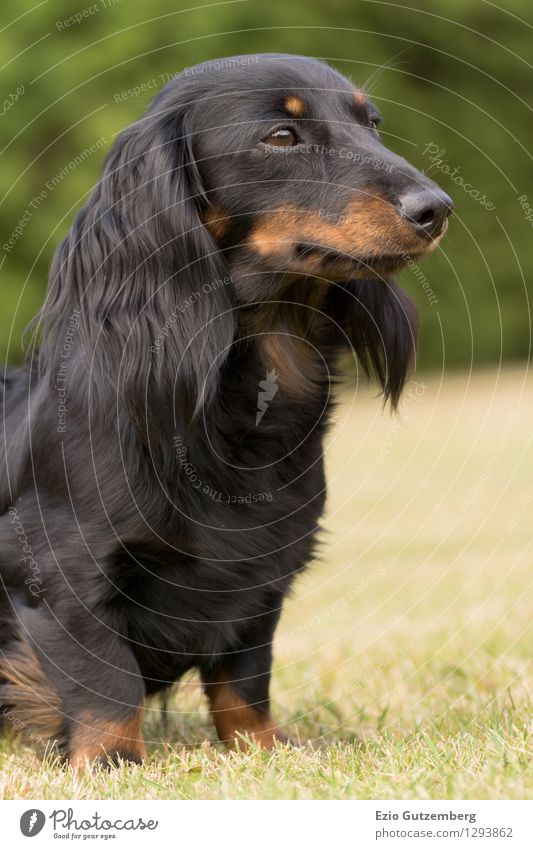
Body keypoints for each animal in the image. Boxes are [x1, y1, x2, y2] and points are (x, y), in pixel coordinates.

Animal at [0, 54, 450, 768]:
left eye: (372, 123)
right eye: (281, 136)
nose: (437, 209)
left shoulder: (259, 579)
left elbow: (244, 680)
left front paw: (265, 750)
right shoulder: (56, 567)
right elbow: (106, 681)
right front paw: (113, 762)